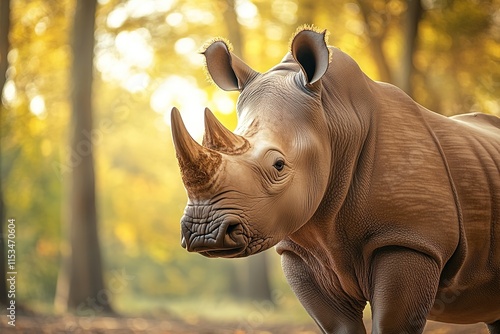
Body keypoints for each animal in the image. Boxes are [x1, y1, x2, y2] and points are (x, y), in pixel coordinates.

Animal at [170, 27, 498, 332]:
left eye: (278, 165)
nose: (204, 233)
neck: (333, 121)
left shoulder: (409, 239)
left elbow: (392, 324)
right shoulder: (299, 250)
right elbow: (339, 325)